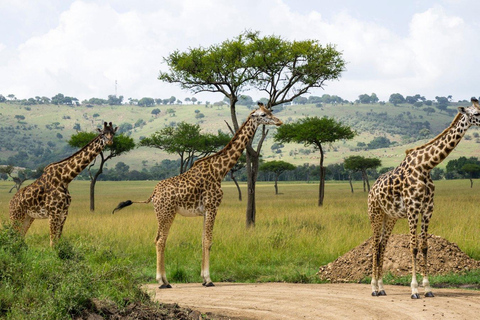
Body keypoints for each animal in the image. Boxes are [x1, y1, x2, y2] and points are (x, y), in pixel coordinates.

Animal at [112, 104, 282, 288]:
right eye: (263, 114)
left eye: (271, 111)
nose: (279, 121)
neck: (220, 170)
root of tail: (154, 193)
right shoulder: (212, 206)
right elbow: (208, 241)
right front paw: (208, 279)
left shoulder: (205, 210)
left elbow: (202, 240)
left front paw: (203, 278)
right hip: (166, 213)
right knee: (160, 240)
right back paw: (162, 281)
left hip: (161, 214)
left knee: (158, 239)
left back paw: (166, 280)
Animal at [368, 99, 480, 298]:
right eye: (476, 113)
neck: (426, 166)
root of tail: (371, 190)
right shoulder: (413, 209)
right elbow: (413, 247)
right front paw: (414, 289)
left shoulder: (428, 209)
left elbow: (425, 246)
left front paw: (428, 288)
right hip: (376, 214)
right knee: (374, 245)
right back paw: (373, 288)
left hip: (390, 217)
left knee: (382, 245)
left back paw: (381, 288)